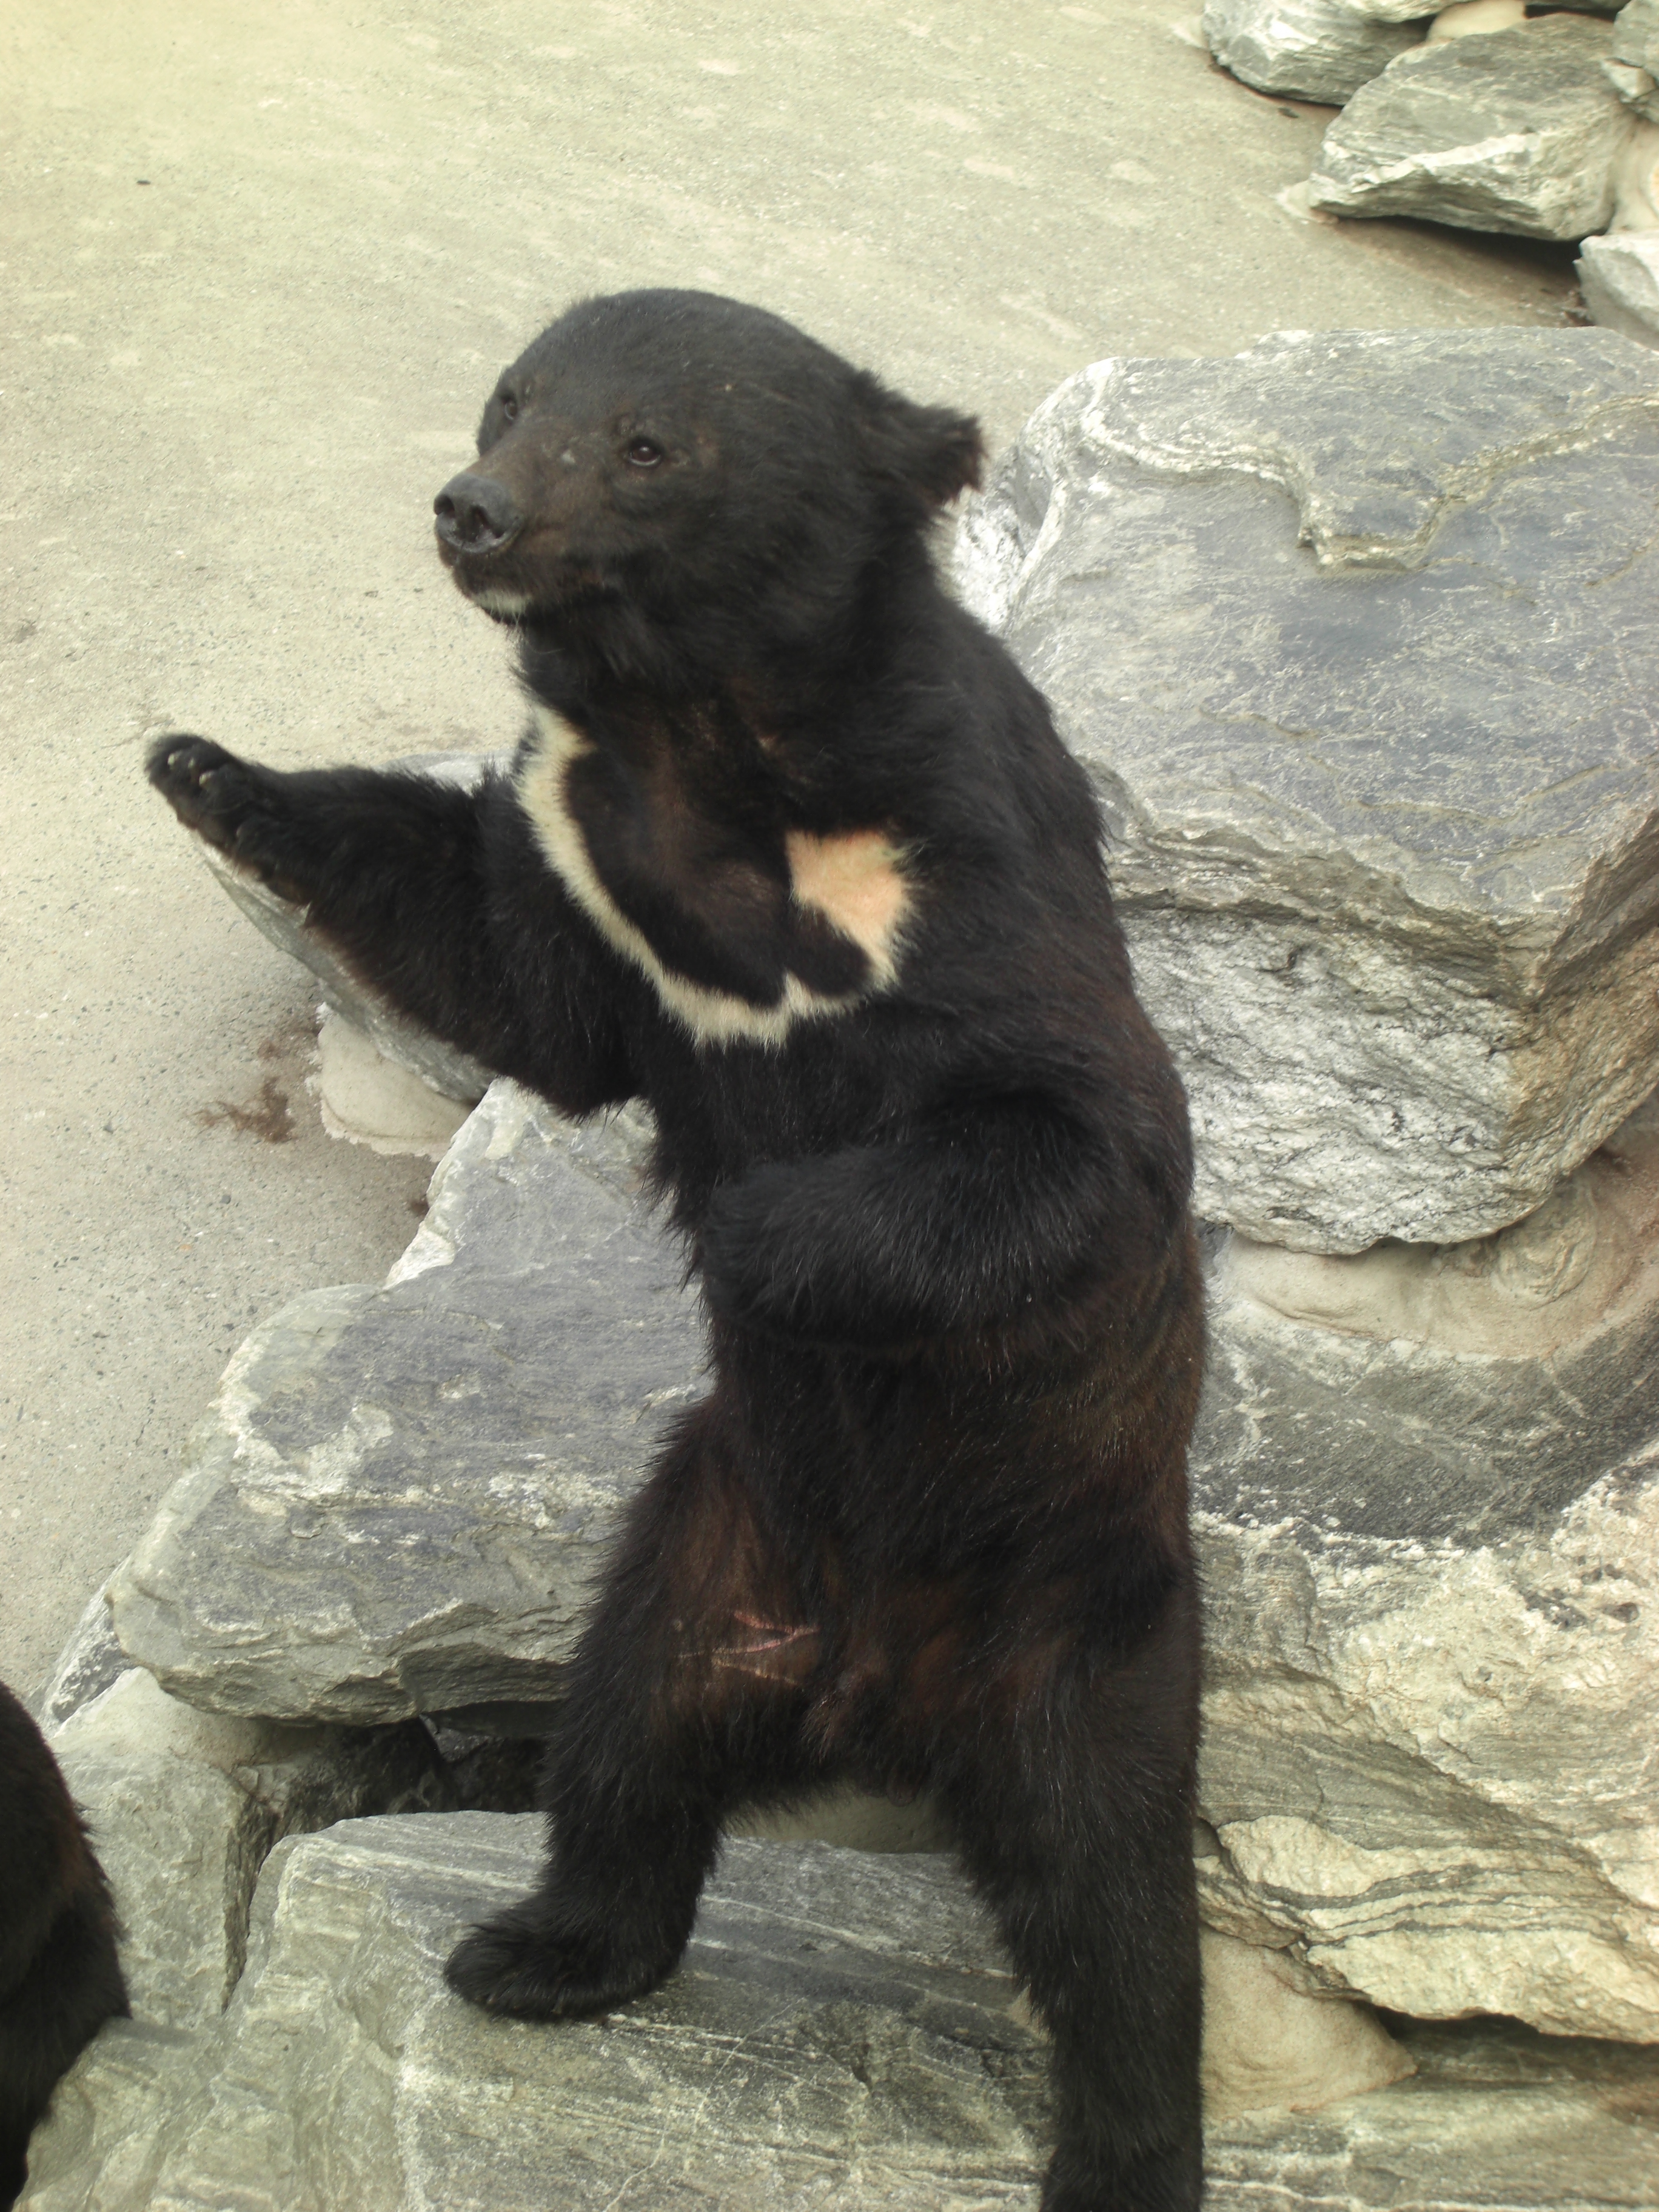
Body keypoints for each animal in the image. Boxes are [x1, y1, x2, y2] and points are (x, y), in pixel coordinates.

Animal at [146, 288, 1206, 2212]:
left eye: (646, 444)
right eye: (508, 399)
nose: (473, 510)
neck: (705, 732)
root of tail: (875, 1698)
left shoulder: (961, 862)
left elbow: (1069, 1133)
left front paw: (757, 1227)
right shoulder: (586, 856)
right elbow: (509, 976)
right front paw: (206, 768)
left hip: (1084, 1628)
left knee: (1112, 1909)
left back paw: (1124, 2152)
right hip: (698, 1556)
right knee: (622, 1749)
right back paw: (542, 1950)